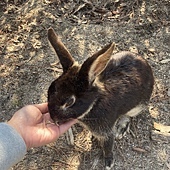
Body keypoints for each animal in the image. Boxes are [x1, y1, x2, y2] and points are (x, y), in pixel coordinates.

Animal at [46, 27, 154, 169]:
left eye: (69, 102)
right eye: (50, 89)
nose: (54, 119)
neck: (95, 102)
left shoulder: (106, 131)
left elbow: (108, 145)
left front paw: (108, 162)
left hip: (138, 106)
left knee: (129, 116)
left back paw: (121, 128)